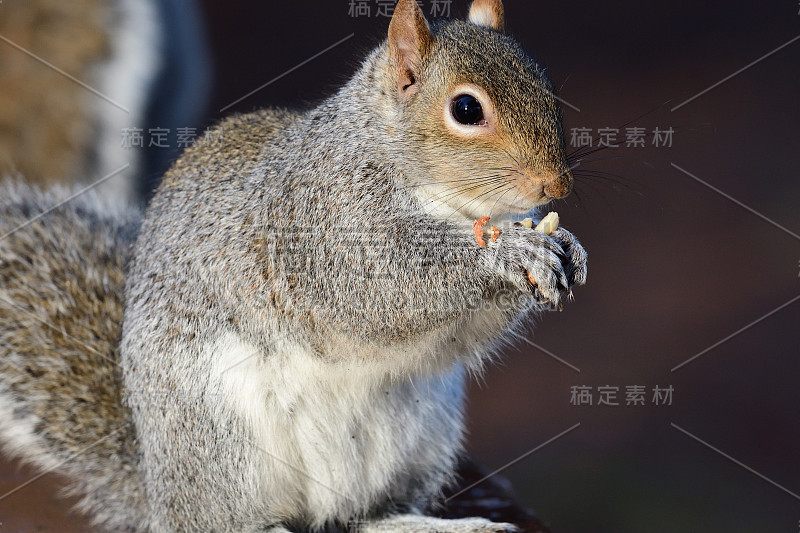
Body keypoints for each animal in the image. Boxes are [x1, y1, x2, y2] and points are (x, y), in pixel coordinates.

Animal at [0, 2, 588, 528]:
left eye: (544, 83)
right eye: (466, 110)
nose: (555, 185)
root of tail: (159, 489)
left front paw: (567, 247)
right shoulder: (321, 224)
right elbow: (385, 291)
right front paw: (510, 254)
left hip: (421, 433)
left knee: (358, 516)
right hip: (222, 437)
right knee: (231, 520)